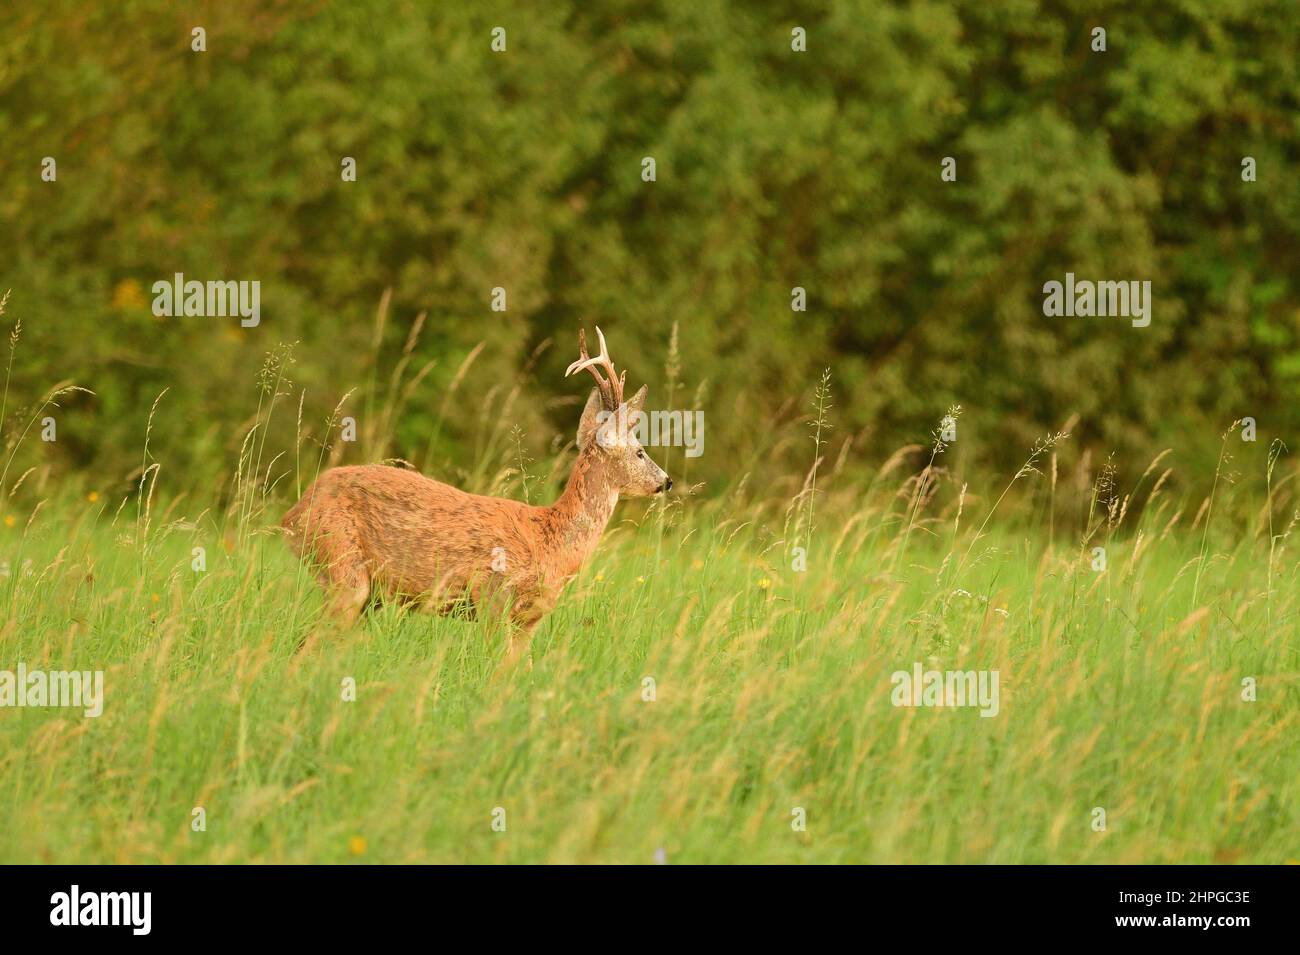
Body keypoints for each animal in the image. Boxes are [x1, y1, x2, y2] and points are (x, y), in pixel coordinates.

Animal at [282, 327, 670, 634]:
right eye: (640, 452)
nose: (665, 481)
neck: (551, 541)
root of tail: (291, 515)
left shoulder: (530, 619)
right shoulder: (493, 595)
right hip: (341, 564)